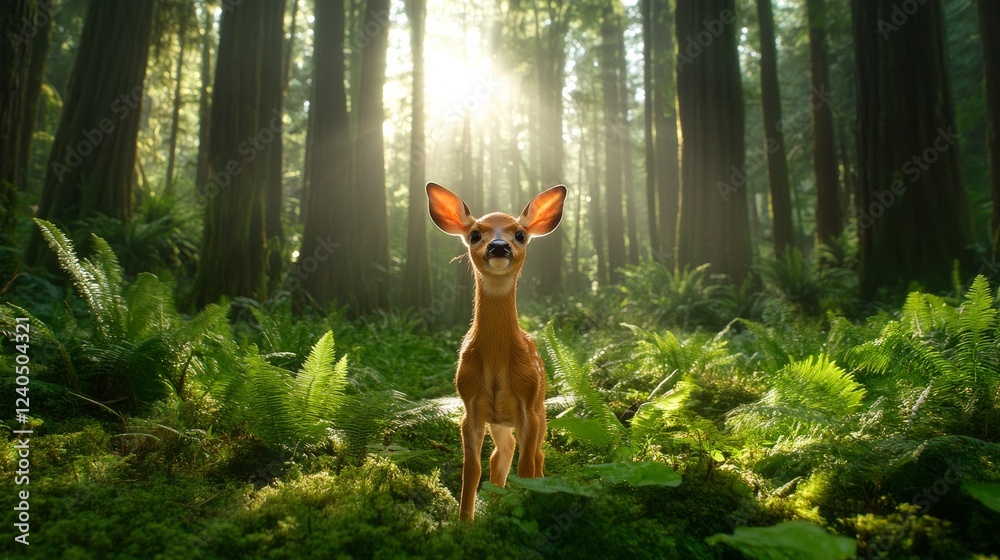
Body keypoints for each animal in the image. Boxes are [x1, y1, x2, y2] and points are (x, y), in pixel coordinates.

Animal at [426, 182, 567, 521]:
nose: (499, 247)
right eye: (476, 234)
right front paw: (465, 522)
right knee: (500, 455)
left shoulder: (528, 407)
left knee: (535, 455)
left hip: (540, 411)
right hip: (499, 421)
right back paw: (495, 504)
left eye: (520, 234)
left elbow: (527, 468)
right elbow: (471, 471)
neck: (495, 359)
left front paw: (530, 506)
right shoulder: (470, 407)